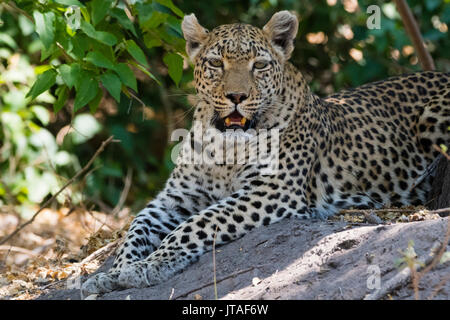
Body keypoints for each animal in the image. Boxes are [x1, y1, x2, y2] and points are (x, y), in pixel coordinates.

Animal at [81, 10, 450, 296]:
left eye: (258, 65)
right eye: (216, 63)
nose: (236, 96)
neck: (225, 146)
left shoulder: (272, 190)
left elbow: (196, 224)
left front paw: (147, 266)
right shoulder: (178, 196)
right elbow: (137, 226)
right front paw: (114, 272)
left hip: (434, 116)